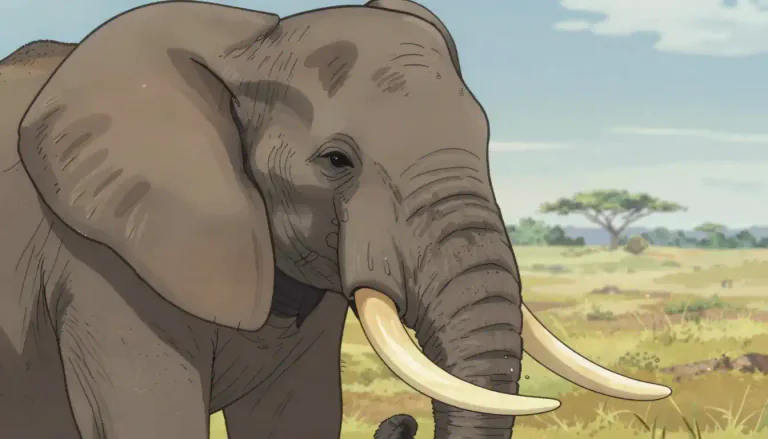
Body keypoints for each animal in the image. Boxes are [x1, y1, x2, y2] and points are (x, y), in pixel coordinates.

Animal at [0, 1, 671, 438]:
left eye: (485, 142)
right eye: (335, 161)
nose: (398, 422)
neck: (248, 43)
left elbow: (299, 416)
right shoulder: (101, 264)